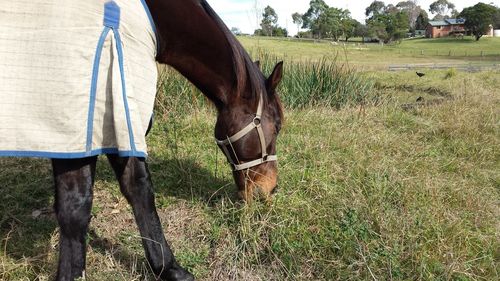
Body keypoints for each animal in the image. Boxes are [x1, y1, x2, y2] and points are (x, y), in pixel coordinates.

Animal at [0, 0, 286, 280]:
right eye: (278, 125)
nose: (270, 188)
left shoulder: (113, 114)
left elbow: (132, 188)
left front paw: (166, 267)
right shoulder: (89, 114)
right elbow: (85, 205)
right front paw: (169, 267)